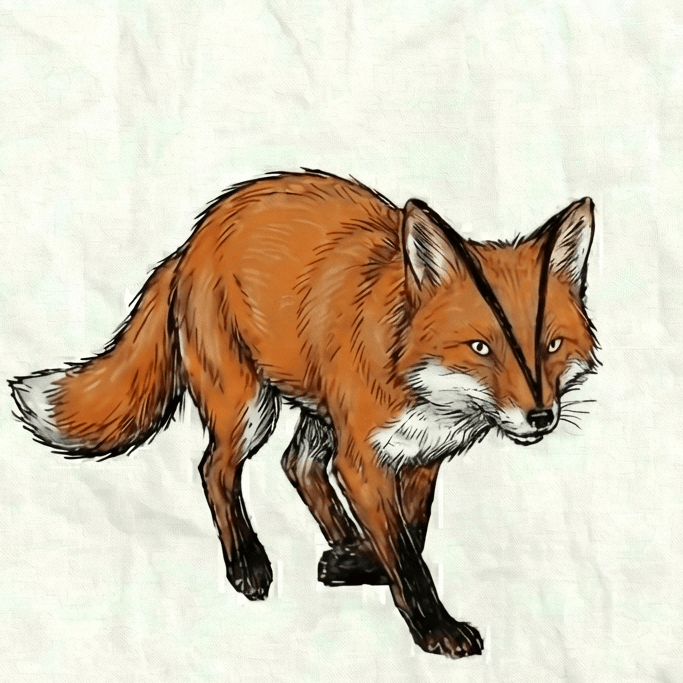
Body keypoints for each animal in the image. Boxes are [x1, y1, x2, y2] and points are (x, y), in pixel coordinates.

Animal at [10, 170, 598, 659]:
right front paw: (435, 629)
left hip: (318, 410)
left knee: (298, 464)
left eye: (550, 345)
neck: (420, 383)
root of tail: (192, 238)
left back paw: (341, 544)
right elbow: (409, 558)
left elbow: (413, 531)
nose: (540, 416)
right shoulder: (364, 459)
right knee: (215, 469)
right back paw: (246, 561)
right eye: (480, 347)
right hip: (248, 410)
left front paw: (356, 560)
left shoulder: (422, 456)